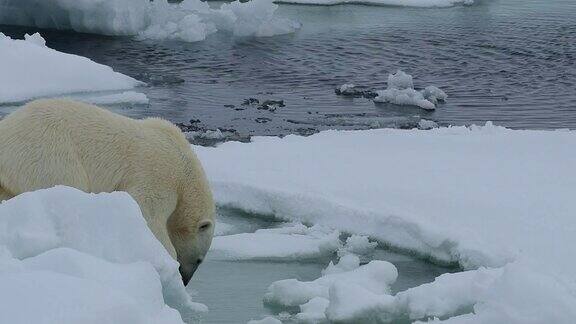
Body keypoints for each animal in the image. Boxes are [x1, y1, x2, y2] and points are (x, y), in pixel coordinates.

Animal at [0, 98, 215, 284]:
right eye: (199, 259)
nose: (185, 280)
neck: (185, 171)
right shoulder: (158, 176)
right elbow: (146, 211)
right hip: (49, 153)